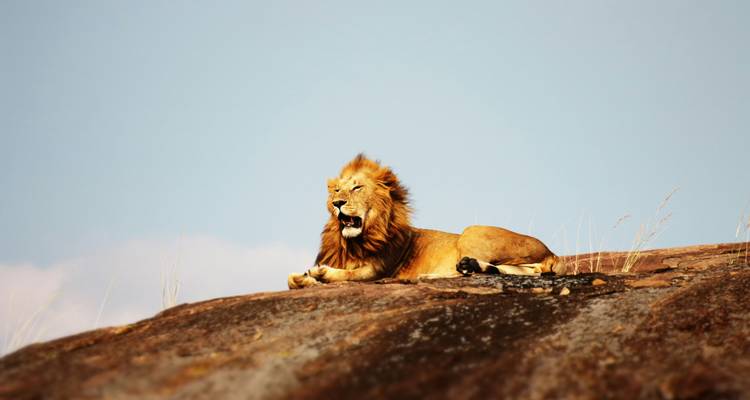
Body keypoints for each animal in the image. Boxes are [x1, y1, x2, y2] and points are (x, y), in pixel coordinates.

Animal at [288, 154, 564, 289]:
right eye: (336, 191)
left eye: (357, 187)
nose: (337, 203)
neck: (354, 242)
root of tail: (552, 252)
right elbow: (291, 280)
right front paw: (304, 278)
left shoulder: (378, 270)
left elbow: (348, 274)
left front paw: (320, 273)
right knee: (525, 271)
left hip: (471, 232)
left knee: (532, 270)